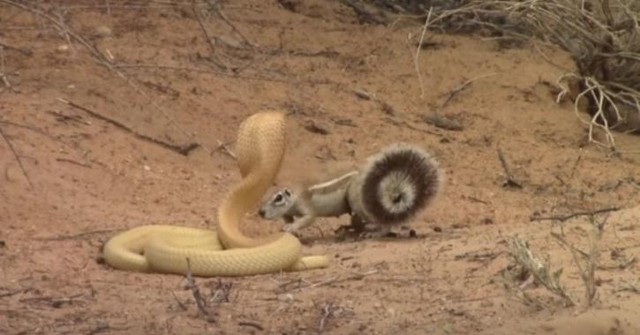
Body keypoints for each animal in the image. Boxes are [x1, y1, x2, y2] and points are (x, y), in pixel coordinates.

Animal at [258, 143, 442, 238]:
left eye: (278, 198)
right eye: (264, 195)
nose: (261, 212)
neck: (295, 195)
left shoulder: (306, 204)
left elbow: (309, 218)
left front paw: (292, 228)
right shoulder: (288, 212)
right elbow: (288, 219)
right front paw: (289, 228)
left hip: (357, 199)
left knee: (382, 220)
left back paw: (375, 232)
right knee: (357, 222)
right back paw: (349, 229)